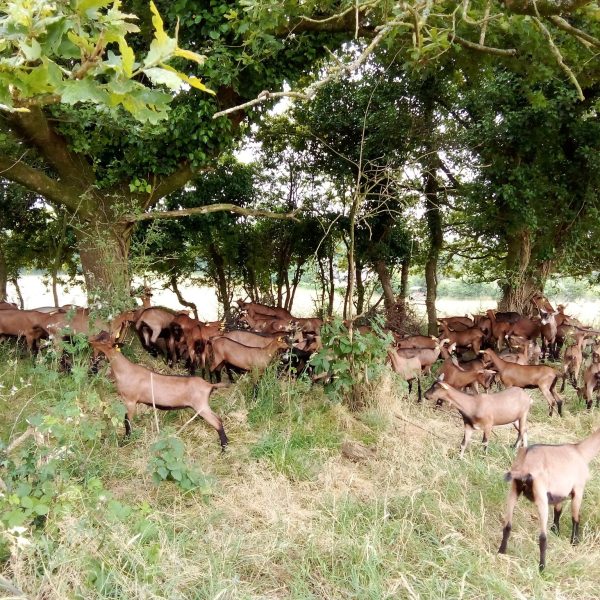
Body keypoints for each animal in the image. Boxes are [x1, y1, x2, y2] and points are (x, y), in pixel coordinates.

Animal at [90, 332, 229, 450]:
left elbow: (127, 421)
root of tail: (209, 385)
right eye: (100, 334)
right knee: (219, 419)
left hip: (201, 406)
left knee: (217, 422)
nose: (90, 340)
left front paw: (125, 441)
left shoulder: (130, 400)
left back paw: (224, 448)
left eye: (104, 340)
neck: (125, 370)